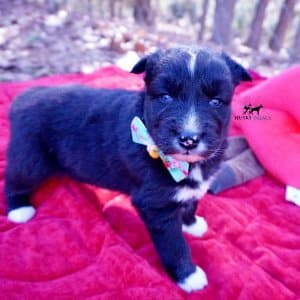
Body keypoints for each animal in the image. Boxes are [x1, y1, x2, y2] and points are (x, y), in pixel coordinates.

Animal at [5, 48, 251, 292]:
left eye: (216, 101)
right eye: (165, 97)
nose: (189, 139)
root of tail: (25, 97)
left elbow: (191, 201)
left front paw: (191, 223)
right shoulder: (155, 205)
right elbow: (174, 244)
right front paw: (188, 276)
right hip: (31, 158)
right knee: (14, 180)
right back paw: (19, 209)